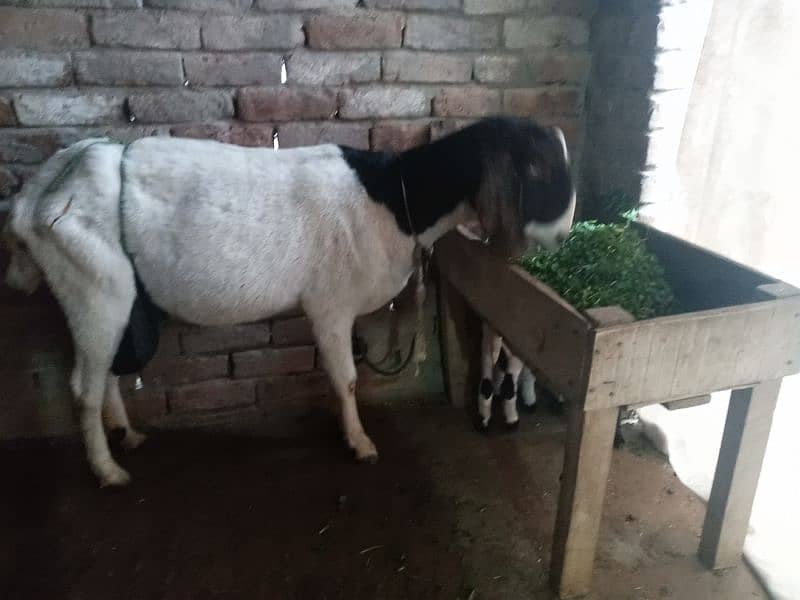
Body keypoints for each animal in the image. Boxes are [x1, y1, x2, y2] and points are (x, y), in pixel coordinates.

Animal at [1, 117, 576, 488]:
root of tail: (39, 195)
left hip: (110, 295)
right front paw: (360, 443)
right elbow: (347, 378)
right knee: (83, 385)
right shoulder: (330, 305)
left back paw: (128, 436)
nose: (563, 235)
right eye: (537, 167)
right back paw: (108, 471)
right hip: (93, 286)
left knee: (107, 373)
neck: (396, 197)